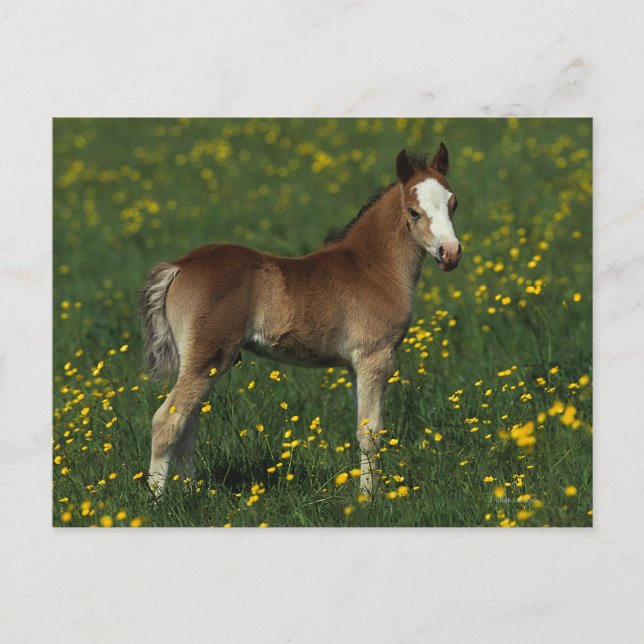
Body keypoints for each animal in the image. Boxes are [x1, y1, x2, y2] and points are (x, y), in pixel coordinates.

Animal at [139, 143, 462, 496]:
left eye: (453, 204)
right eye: (414, 211)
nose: (450, 253)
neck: (372, 268)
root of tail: (179, 265)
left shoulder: (354, 365)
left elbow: (362, 425)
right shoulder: (375, 357)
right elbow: (371, 433)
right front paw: (370, 498)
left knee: (189, 426)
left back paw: (191, 493)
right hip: (207, 357)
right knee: (166, 421)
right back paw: (159, 500)